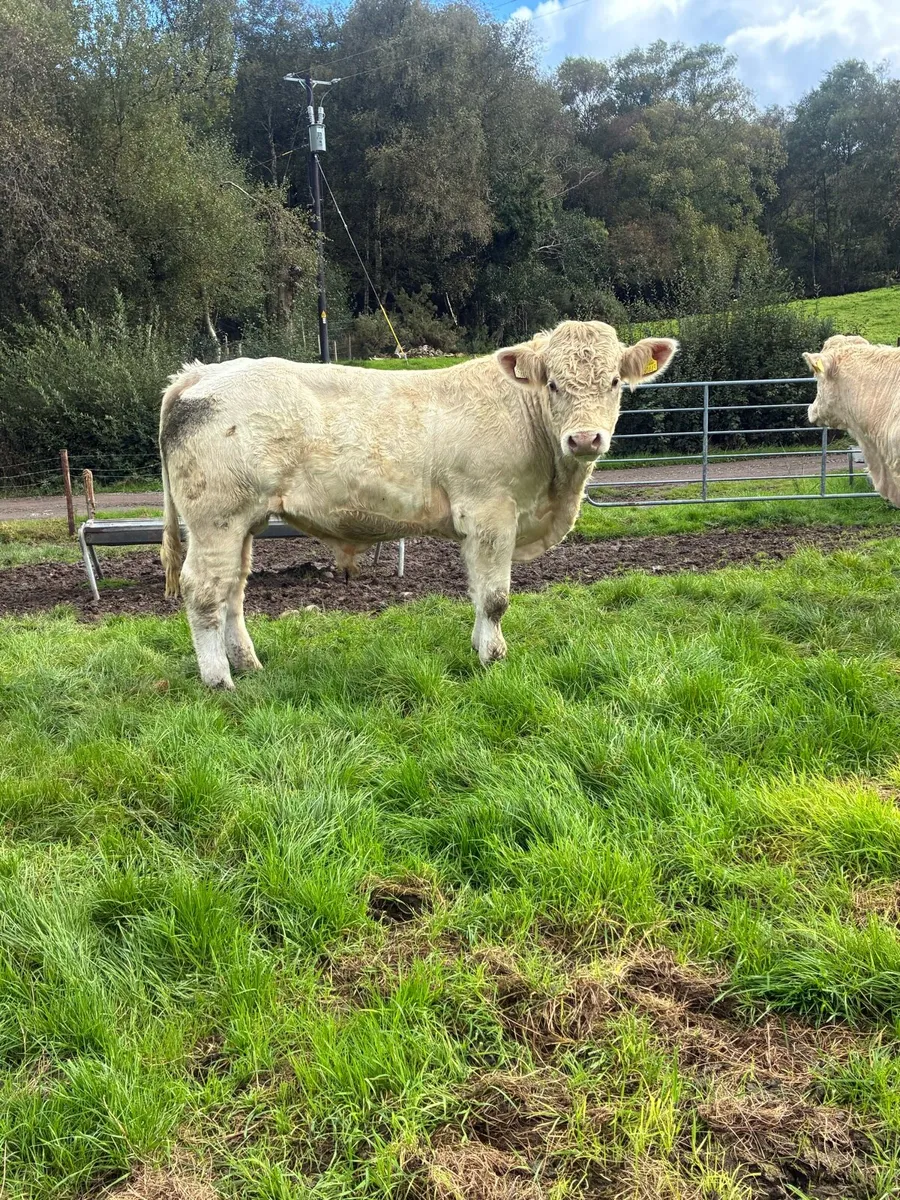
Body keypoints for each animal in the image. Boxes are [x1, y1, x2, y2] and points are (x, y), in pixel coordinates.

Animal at [159, 320, 679, 688]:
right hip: (216, 518)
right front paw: (494, 658)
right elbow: (495, 596)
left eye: (614, 381)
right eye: (552, 383)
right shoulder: (491, 510)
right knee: (204, 591)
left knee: (233, 591)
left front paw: (479, 648)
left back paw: (247, 664)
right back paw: (219, 679)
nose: (585, 438)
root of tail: (204, 372)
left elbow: (477, 592)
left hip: (245, 522)